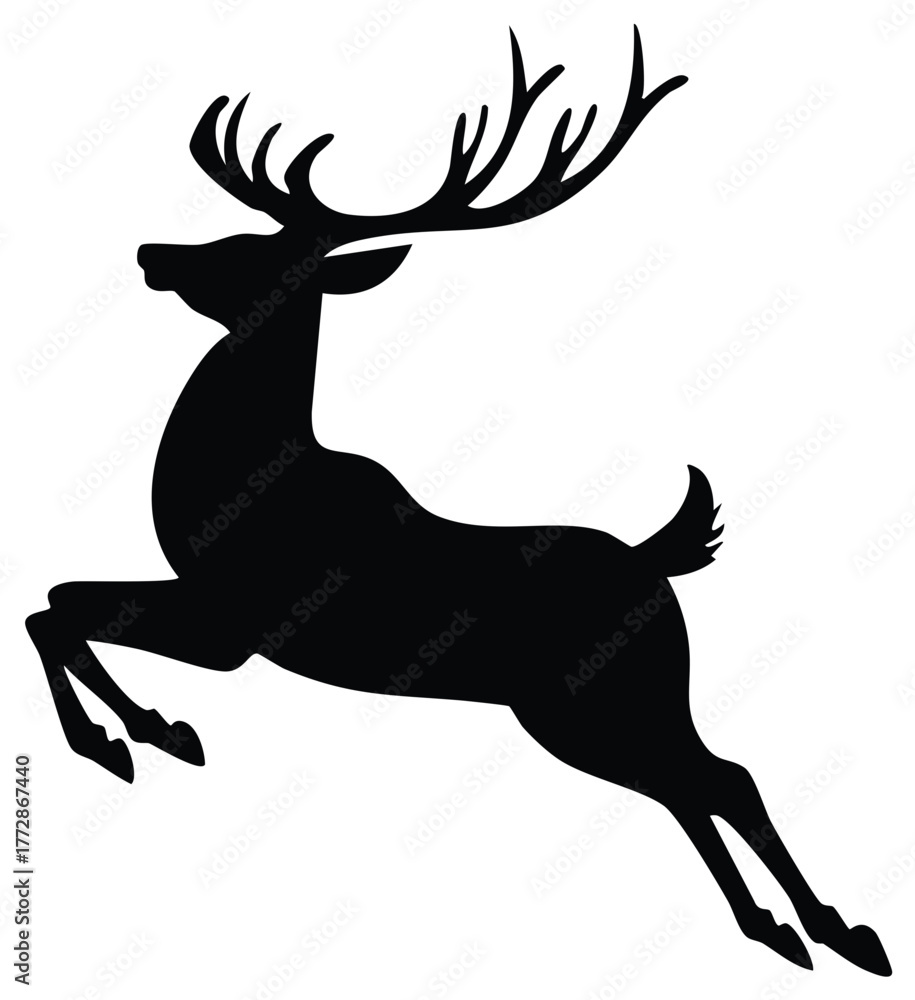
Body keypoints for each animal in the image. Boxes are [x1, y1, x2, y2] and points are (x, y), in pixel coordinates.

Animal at [26, 26, 891, 977]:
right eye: (242, 229)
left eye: (255, 252)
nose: (154, 255)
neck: (239, 488)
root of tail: (656, 561)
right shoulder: (214, 610)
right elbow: (53, 604)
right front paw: (147, 733)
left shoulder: (237, 625)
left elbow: (58, 611)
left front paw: (132, 737)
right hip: (606, 700)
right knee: (693, 783)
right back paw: (788, 929)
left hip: (593, 695)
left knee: (714, 778)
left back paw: (833, 932)